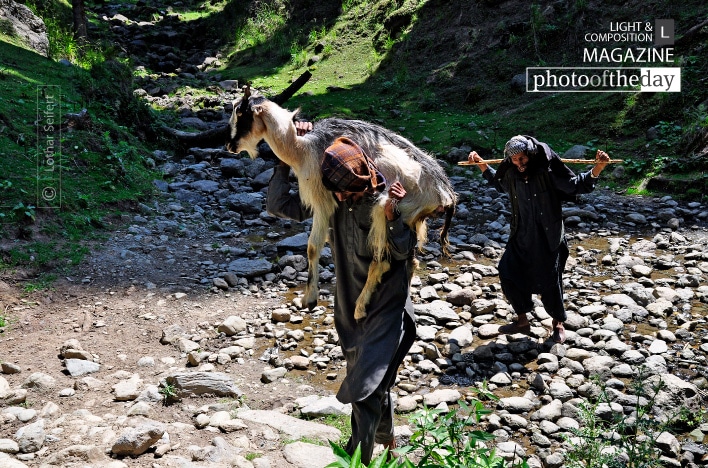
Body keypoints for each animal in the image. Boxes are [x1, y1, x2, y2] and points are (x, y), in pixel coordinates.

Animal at [228, 88, 460, 320]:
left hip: (388, 208)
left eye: (242, 114)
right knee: (409, 261)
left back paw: (360, 308)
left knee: (382, 260)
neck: (301, 147)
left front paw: (309, 299)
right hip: (410, 218)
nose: (230, 146)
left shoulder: (322, 199)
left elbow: (312, 247)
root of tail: (445, 194)